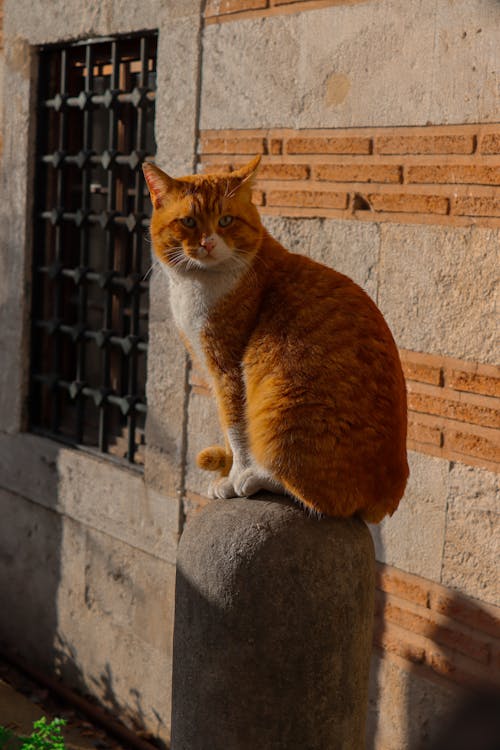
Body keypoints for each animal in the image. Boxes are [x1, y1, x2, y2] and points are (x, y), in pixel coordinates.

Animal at [143, 159, 408, 524]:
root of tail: (389, 494)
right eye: (189, 222)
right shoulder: (208, 367)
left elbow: (237, 429)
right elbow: (228, 430)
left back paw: (258, 478)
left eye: (226, 220)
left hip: (282, 399)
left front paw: (234, 477)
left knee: (322, 499)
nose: (208, 243)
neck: (198, 285)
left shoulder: (228, 369)